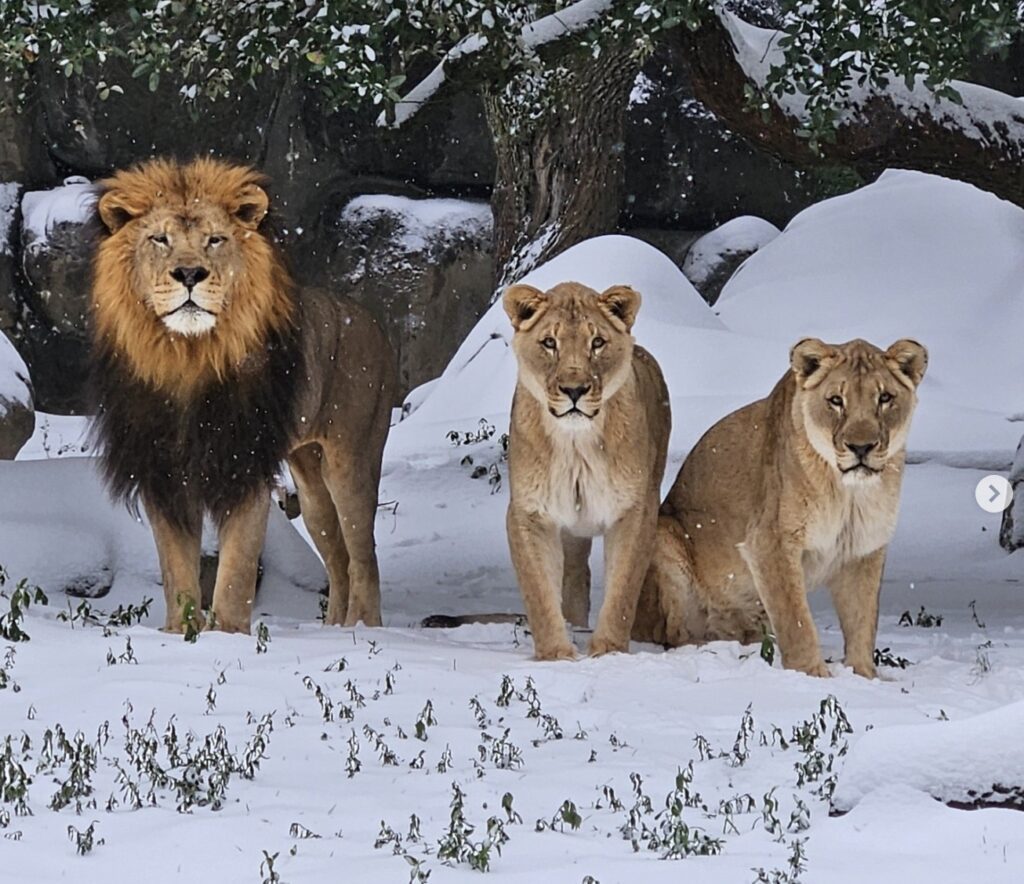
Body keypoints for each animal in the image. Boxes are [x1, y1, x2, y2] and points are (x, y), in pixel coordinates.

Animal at [92, 155, 395, 630]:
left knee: (364, 556)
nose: (190, 273)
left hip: (351, 459)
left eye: (215, 240)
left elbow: (236, 569)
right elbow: (176, 572)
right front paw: (177, 633)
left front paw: (228, 634)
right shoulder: (164, 470)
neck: (188, 358)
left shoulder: (244, 462)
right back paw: (332, 630)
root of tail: (370, 319)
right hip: (310, 481)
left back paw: (362, 630)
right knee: (339, 557)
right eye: (160, 239)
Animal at [501, 280, 671, 659]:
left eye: (597, 342)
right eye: (550, 343)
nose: (574, 390)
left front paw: (608, 651)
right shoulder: (529, 514)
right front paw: (556, 654)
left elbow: (622, 588)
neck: (575, 445)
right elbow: (539, 590)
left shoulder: (635, 509)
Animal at [630, 338, 929, 676]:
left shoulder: (864, 548)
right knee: (670, 634)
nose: (861, 447)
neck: (849, 493)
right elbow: (796, 620)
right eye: (836, 400)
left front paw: (864, 675)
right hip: (662, 533)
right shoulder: (770, 541)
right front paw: (812, 674)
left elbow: (863, 621)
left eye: (885, 398)